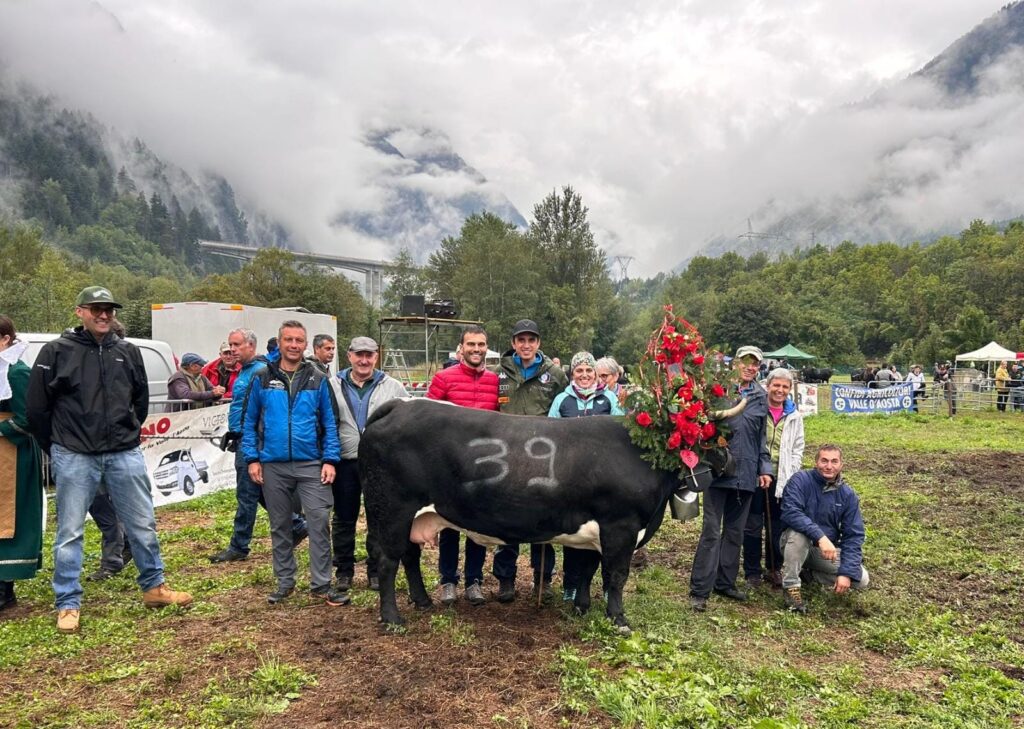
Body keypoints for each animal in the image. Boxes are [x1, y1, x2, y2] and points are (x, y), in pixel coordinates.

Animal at [360, 399, 688, 630]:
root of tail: (401, 405)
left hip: (408, 516)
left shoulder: (599, 528)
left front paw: (581, 607)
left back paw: (423, 601)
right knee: (388, 561)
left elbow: (588, 568)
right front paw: (619, 620)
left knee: (409, 555)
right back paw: (392, 619)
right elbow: (617, 575)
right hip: (391, 510)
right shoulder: (622, 526)